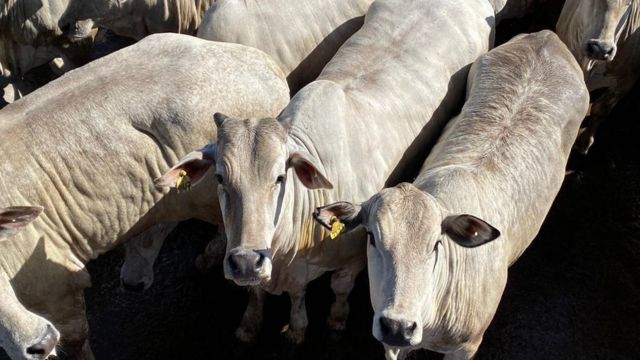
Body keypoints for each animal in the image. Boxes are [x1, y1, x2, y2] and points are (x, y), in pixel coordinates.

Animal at [316, 31, 592, 360]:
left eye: (436, 244)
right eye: (372, 237)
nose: (398, 326)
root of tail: (546, 37)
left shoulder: (467, 347)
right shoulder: (391, 344)